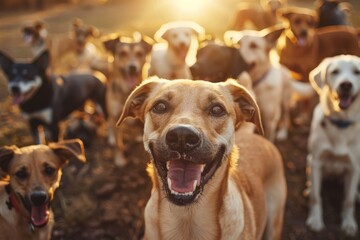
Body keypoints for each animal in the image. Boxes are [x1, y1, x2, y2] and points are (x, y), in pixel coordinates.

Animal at [102, 32, 153, 166]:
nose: (132, 67)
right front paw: (119, 160)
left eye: (139, 53)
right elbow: (118, 144)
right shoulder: (115, 116)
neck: (127, 92)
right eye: (122, 53)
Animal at [306, 54, 360, 236]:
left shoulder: (354, 166)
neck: (341, 125)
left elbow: (348, 201)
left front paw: (349, 223)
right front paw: (315, 220)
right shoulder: (316, 162)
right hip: (309, 161)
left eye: (357, 72)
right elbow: (316, 197)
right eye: (335, 72)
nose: (346, 84)